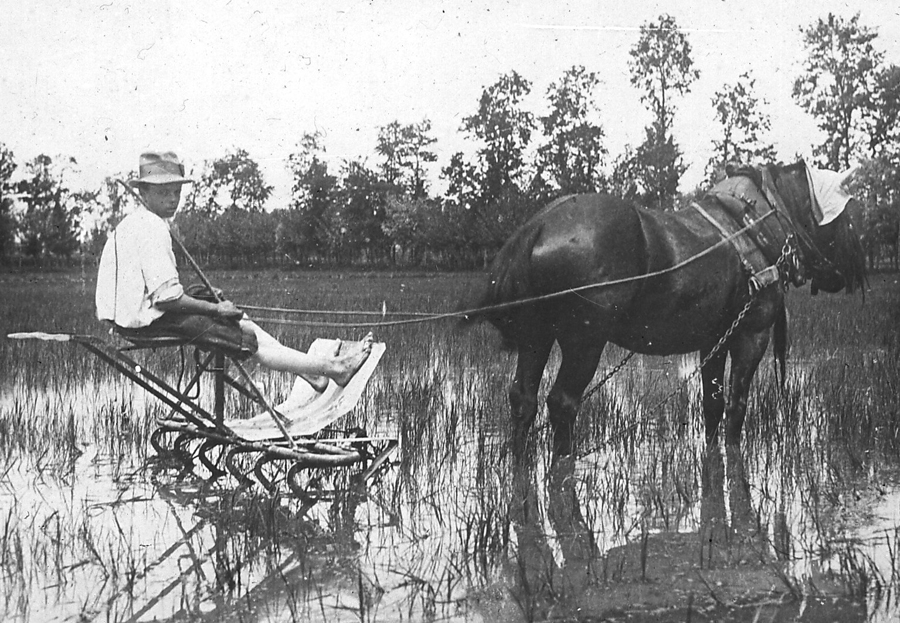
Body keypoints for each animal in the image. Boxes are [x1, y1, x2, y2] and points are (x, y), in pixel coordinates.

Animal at [464, 161, 864, 464]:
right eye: (848, 219)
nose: (854, 274)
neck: (757, 224)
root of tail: (540, 224)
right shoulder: (751, 336)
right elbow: (737, 407)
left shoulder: (714, 340)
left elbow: (713, 405)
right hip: (584, 342)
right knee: (562, 403)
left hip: (537, 337)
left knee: (523, 400)